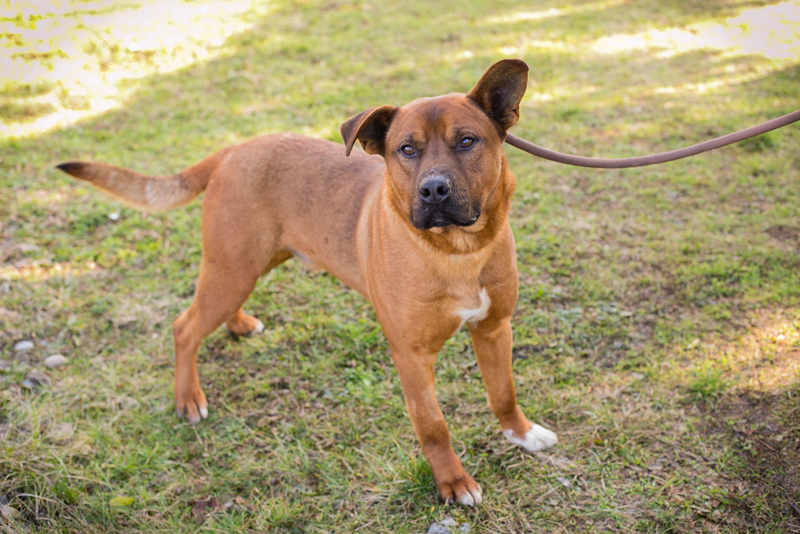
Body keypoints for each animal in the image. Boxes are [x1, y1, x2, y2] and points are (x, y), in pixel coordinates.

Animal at [57, 59, 558, 506]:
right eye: (406, 150)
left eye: (467, 141)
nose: (433, 190)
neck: (456, 251)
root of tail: (233, 150)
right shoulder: (411, 356)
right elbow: (433, 425)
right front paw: (452, 483)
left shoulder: (494, 328)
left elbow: (503, 392)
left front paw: (521, 434)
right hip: (231, 268)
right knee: (185, 326)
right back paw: (188, 398)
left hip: (244, 266)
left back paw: (238, 326)